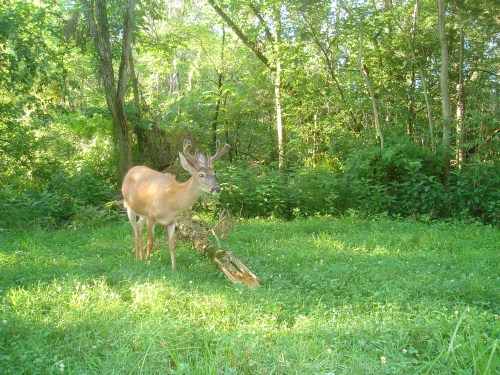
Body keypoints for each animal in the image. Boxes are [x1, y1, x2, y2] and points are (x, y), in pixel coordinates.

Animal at [121, 140, 230, 272]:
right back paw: (138, 258)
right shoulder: (151, 217)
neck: (170, 200)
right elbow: (150, 243)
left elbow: (172, 244)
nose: (217, 188)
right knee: (135, 231)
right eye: (201, 175)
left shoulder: (172, 221)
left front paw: (174, 269)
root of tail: (130, 170)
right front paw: (147, 263)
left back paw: (141, 257)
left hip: (143, 214)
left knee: (138, 225)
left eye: (214, 174)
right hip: (129, 205)